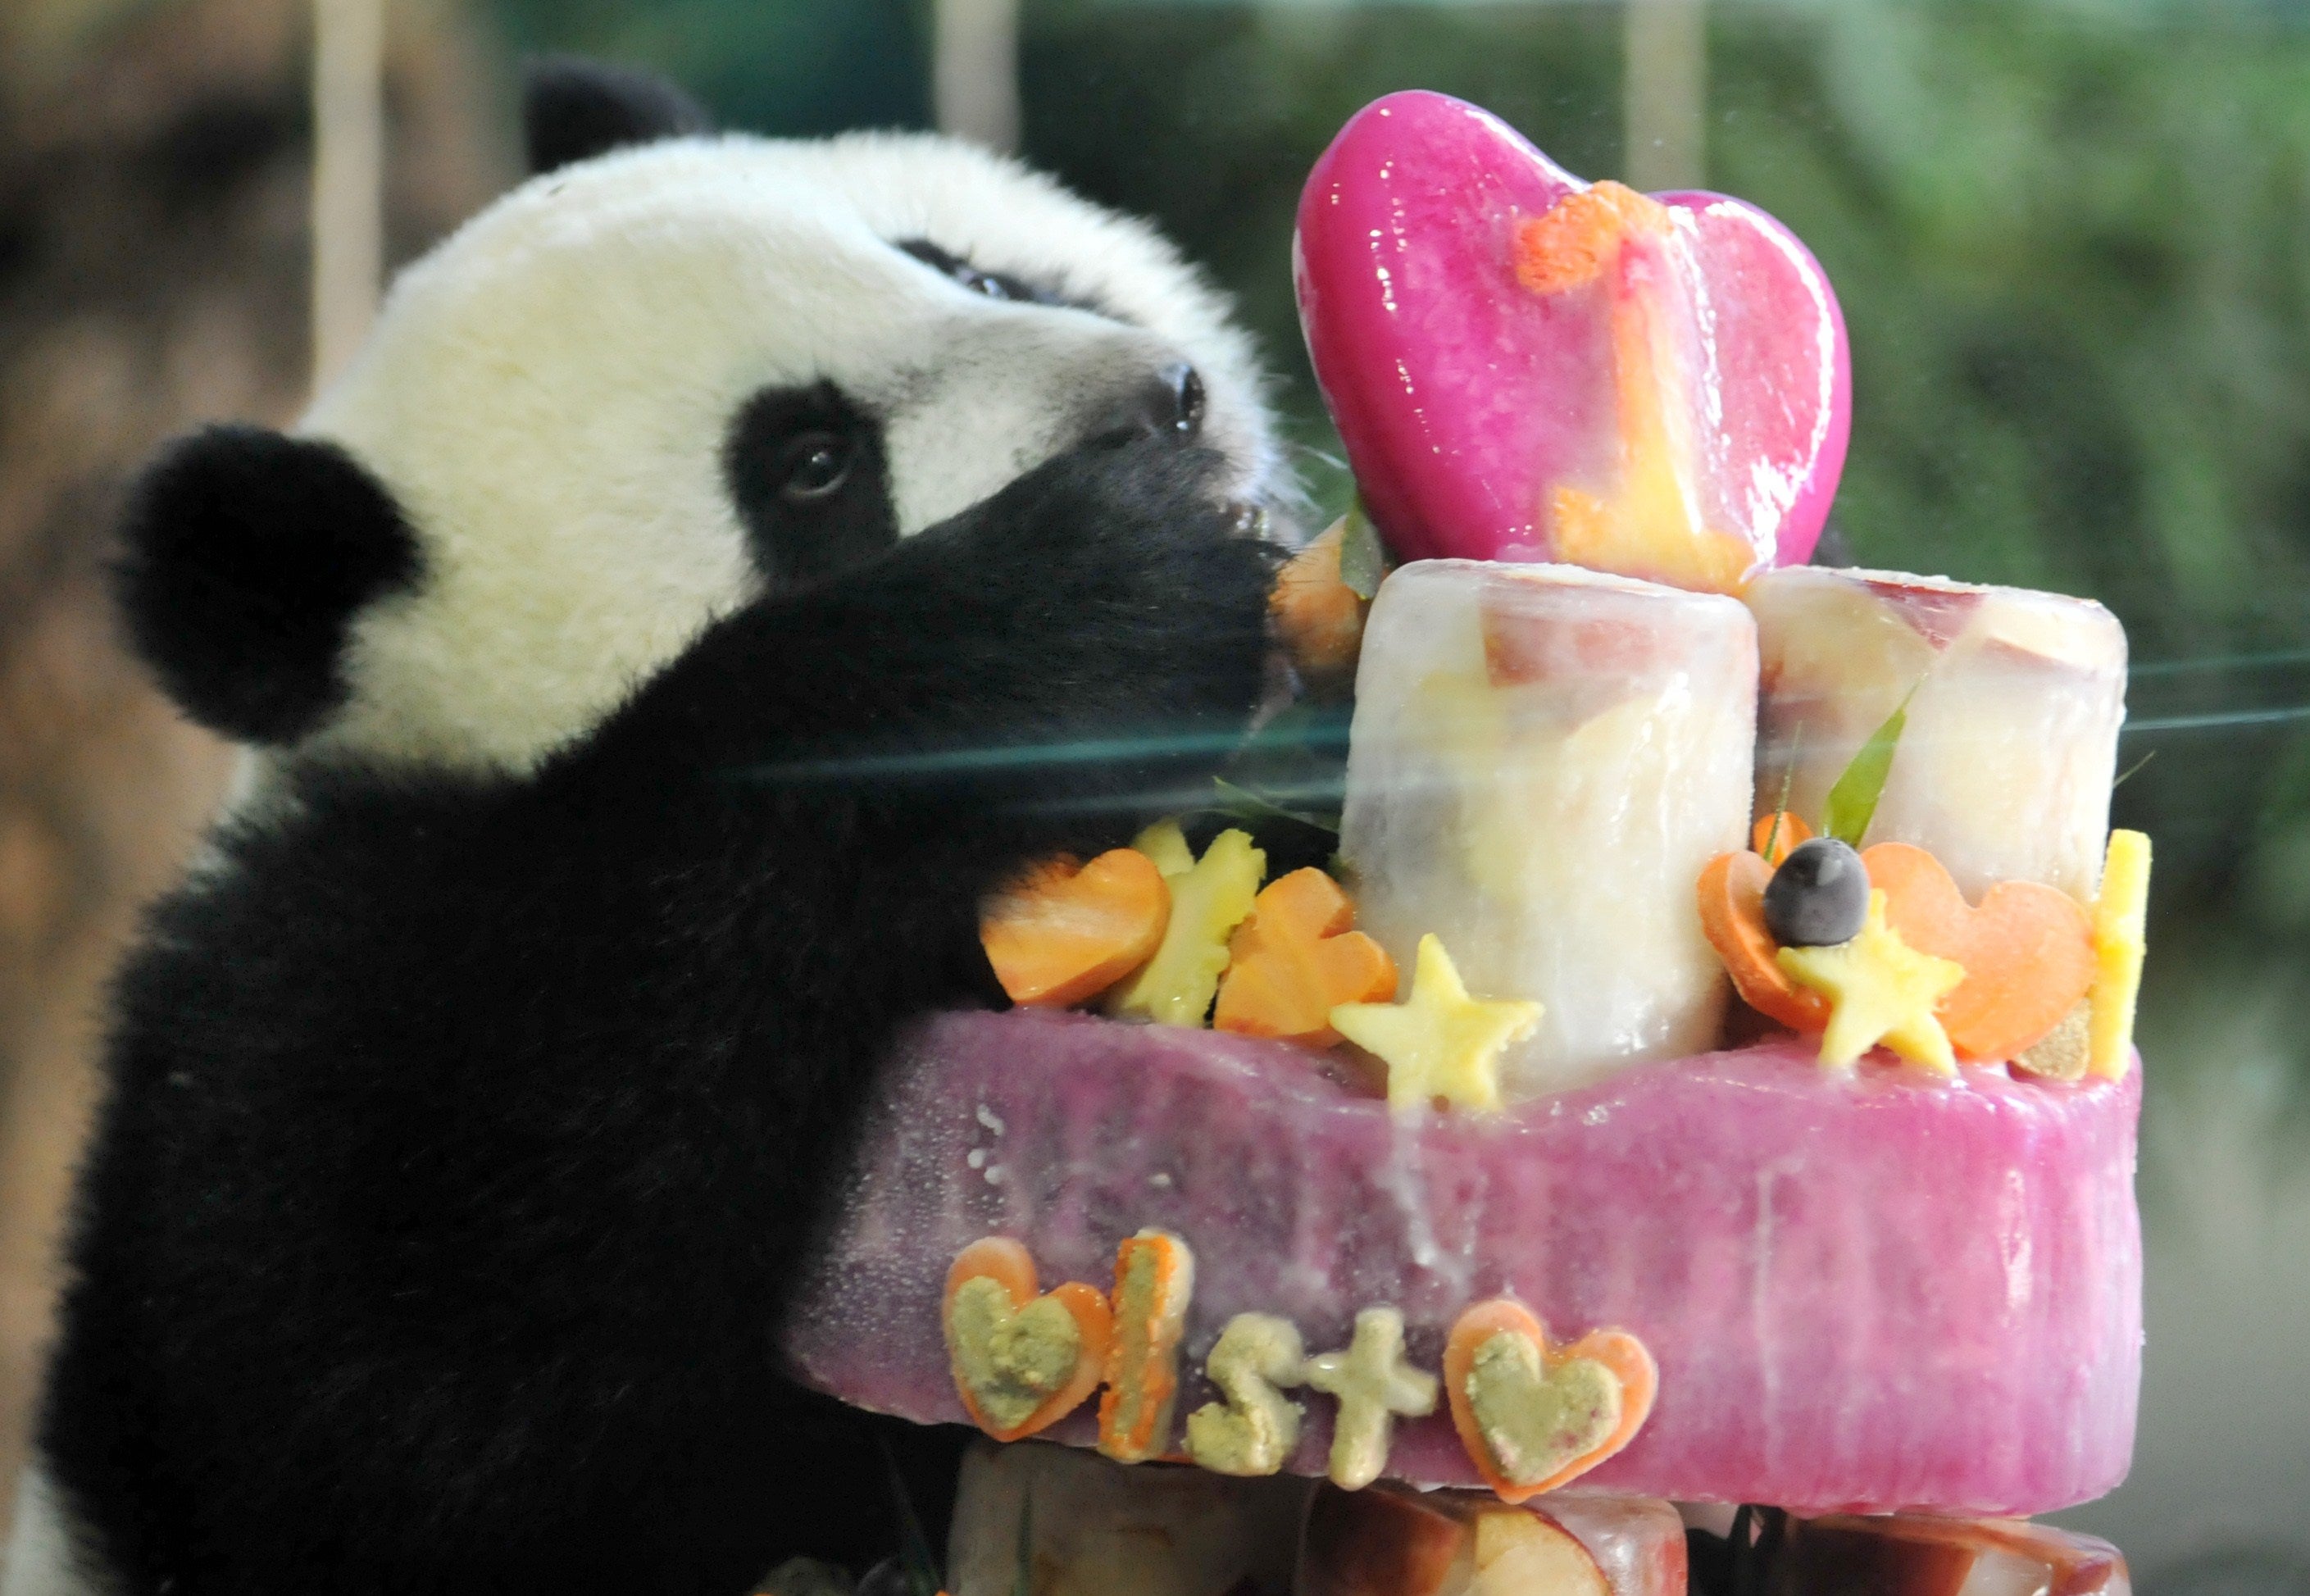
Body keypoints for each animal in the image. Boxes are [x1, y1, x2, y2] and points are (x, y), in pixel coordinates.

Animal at [0, 62, 1294, 1596]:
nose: (1166, 401)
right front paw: (1082, 609)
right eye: (810, 465)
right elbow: (391, 1398)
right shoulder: (287, 1019)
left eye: (964, 268)